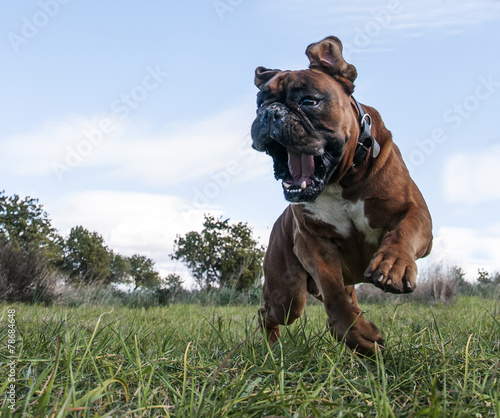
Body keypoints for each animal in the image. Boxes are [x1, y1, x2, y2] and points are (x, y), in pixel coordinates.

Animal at [252, 36, 432, 356]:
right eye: (259, 103)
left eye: (308, 101)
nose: (270, 113)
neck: (341, 180)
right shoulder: (313, 243)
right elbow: (333, 293)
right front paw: (357, 333)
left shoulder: (416, 213)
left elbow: (404, 231)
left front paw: (393, 265)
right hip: (287, 295)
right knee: (268, 313)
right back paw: (273, 350)